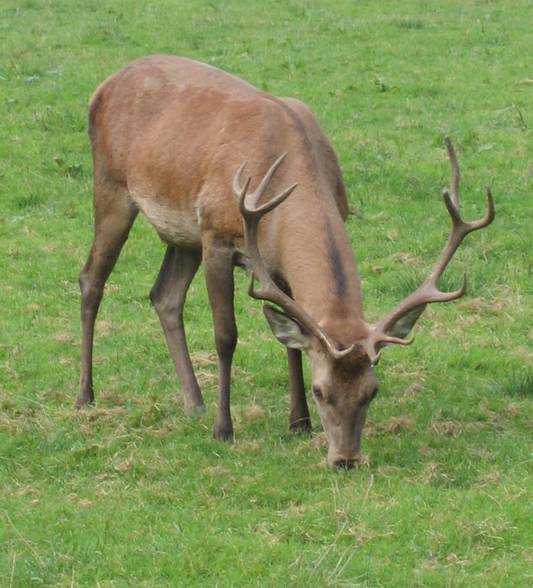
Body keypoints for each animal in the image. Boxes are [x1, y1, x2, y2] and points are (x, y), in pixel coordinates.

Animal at [77, 55, 492, 468]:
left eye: (372, 391)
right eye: (321, 390)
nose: (346, 459)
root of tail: (104, 86)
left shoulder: (276, 267)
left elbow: (292, 343)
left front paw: (299, 422)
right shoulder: (216, 236)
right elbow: (226, 335)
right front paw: (224, 429)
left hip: (182, 235)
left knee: (164, 295)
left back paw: (194, 403)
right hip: (113, 187)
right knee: (91, 280)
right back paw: (86, 396)